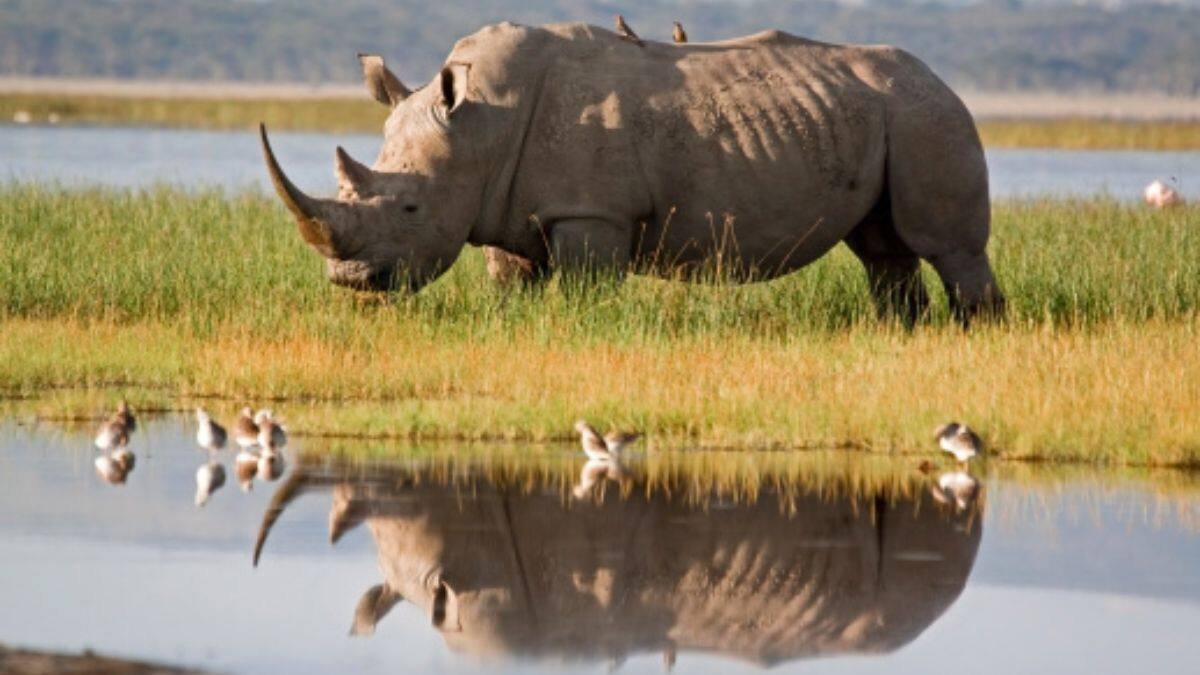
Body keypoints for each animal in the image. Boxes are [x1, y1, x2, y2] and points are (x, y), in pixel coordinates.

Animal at [261, 21, 1004, 323]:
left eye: (410, 209)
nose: (351, 282)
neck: (480, 126)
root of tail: (942, 80)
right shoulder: (502, 205)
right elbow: (511, 283)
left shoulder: (592, 213)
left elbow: (587, 290)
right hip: (888, 116)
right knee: (883, 251)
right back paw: (901, 331)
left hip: (928, 116)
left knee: (948, 246)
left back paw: (976, 332)